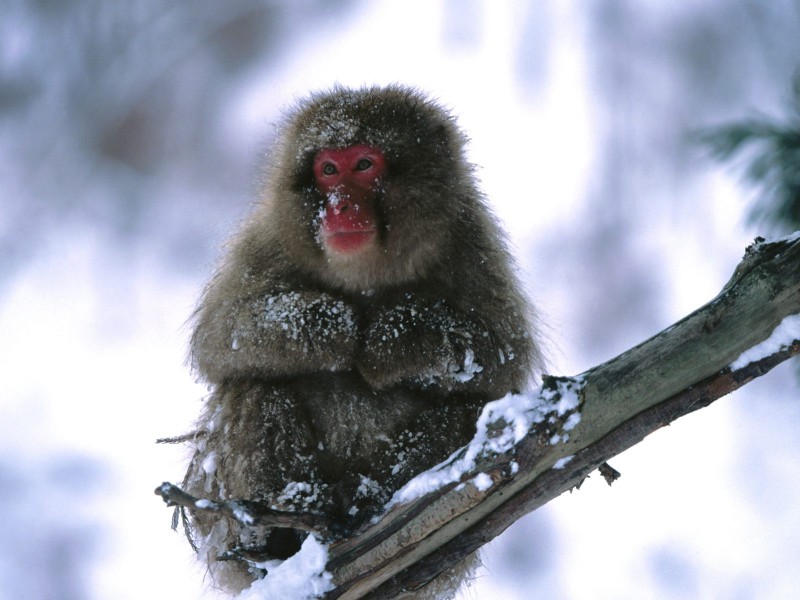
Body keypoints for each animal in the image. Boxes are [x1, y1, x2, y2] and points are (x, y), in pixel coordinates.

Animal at [180, 84, 544, 596]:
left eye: (365, 164)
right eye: (329, 170)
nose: (339, 206)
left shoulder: (470, 243)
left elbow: (503, 360)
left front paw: (387, 338)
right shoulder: (269, 238)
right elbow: (218, 337)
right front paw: (338, 326)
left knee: (471, 411)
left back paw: (363, 497)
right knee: (252, 388)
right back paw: (280, 528)